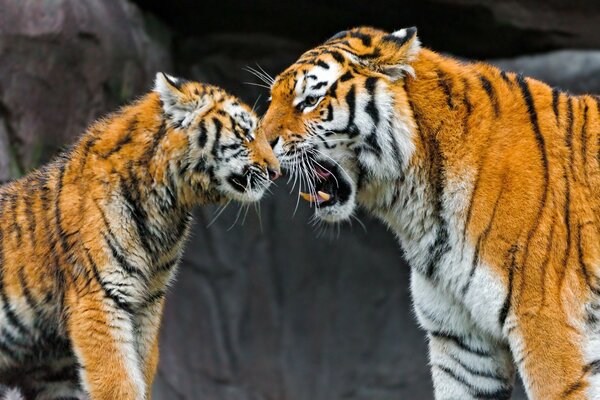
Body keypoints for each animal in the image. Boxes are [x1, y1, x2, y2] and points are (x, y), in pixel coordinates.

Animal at [0, 72, 282, 400]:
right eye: (245, 133)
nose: (276, 171)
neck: (167, 207)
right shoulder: (100, 296)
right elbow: (118, 380)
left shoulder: (147, 301)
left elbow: (141, 369)